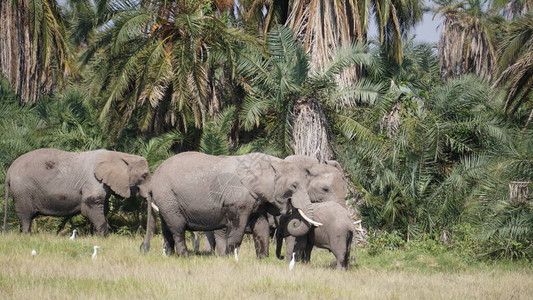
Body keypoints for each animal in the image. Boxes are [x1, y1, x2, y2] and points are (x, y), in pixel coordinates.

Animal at [2, 149, 152, 236]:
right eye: (144, 175)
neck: (120, 155)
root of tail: (9, 172)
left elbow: (102, 207)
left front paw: (93, 236)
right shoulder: (93, 180)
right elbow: (91, 206)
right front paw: (103, 237)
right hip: (23, 190)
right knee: (26, 216)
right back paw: (27, 236)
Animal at [138, 152, 320, 255]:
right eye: (294, 186)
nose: (281, 257)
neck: (272, 163)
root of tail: (153, 180)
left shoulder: (257, 198)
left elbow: (260, 226)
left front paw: (262, 259)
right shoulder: (237, 197)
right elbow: (238, 228)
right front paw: (232, 258)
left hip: (166, 200)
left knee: (167, 229)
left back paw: (169, 255)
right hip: (168, 196)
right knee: (177, 228)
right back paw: (185, 256)